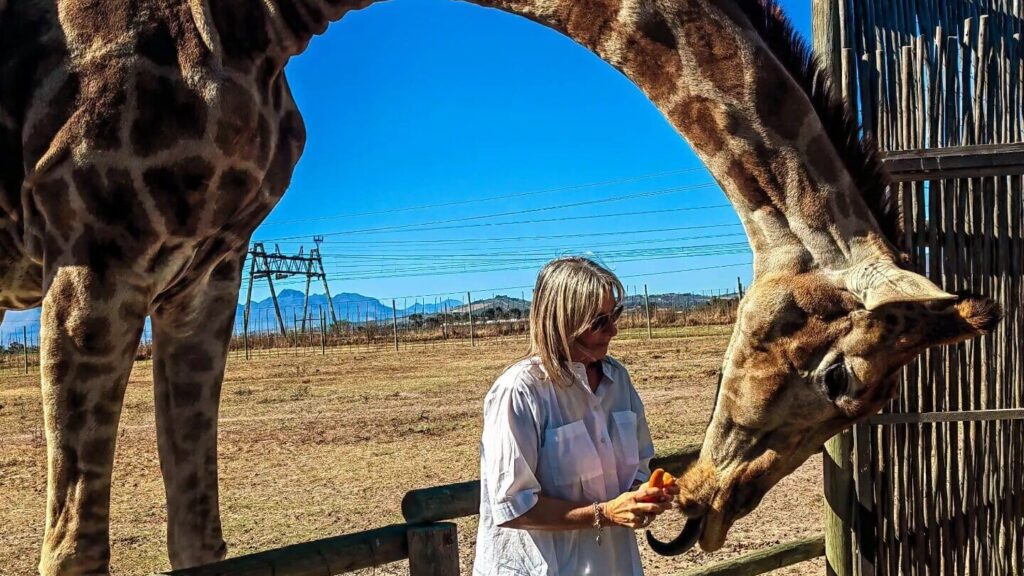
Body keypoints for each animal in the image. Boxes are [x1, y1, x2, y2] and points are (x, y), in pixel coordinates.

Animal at [0, 0, 1000, 573]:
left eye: (874, 404)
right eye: (839, 379)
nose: (701, 509)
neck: (260, 19)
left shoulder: (207, 274)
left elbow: (198, 539)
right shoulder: (93, 267)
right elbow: (72, 550)